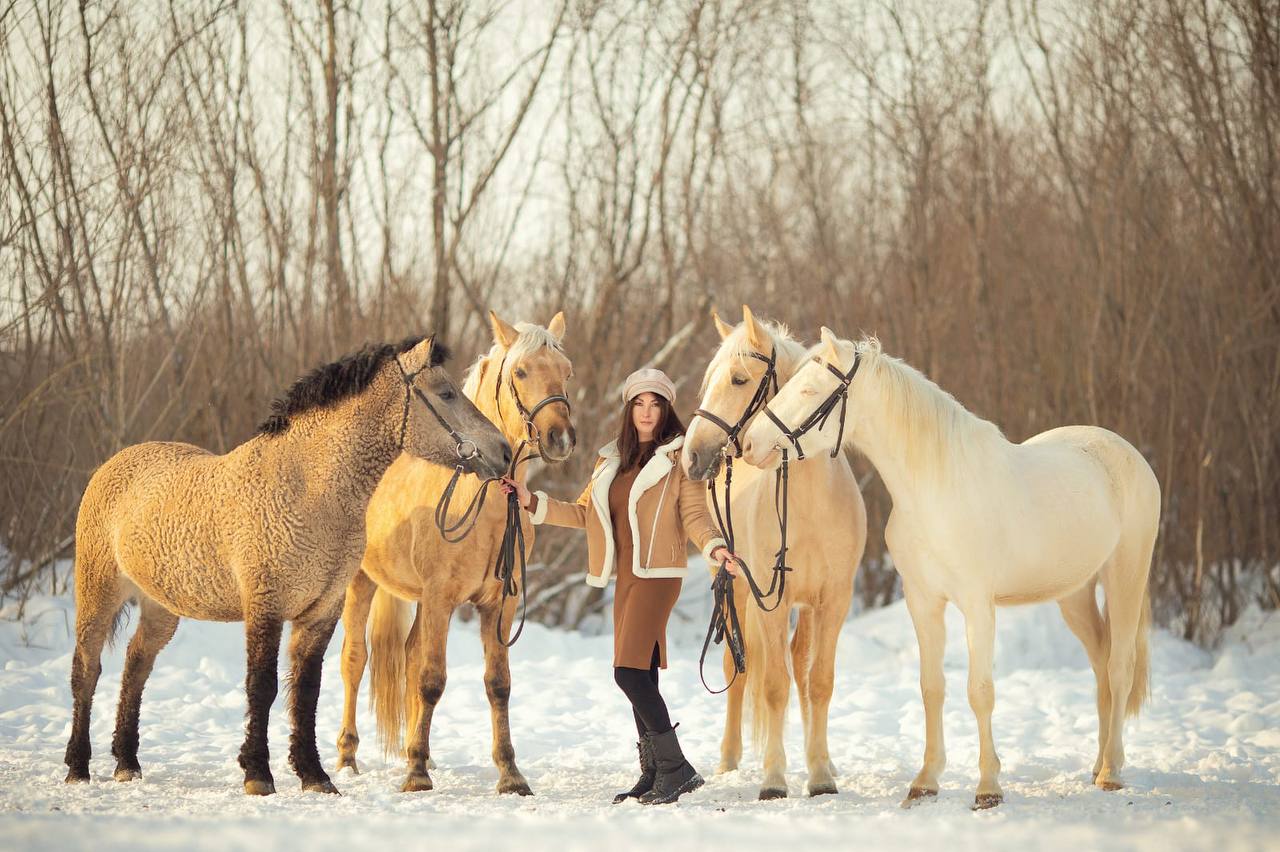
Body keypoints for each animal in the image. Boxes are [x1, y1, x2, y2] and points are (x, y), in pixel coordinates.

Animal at [63, 335, 504, 793]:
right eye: (446, 393)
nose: (503, 452)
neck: (309, 487)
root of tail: (113, 465)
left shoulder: (320, 613)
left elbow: (306, 690)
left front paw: (314, 774)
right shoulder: (266, 607)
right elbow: (263, 686)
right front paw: (258, 773)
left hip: (160, 608)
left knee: (136, 665)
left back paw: (126, 763)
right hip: (98, 592)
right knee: (86, 669)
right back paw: (78, 767)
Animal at [335, 308, 576, 793]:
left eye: (567, 371)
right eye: (521, 371)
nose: (559, 437)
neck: (479, 499)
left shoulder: (499, 603)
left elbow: (497, 683)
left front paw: (509, 774)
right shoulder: (440, 598)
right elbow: (431, 679)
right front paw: (416, 776)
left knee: (408, 657)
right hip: (362, 583)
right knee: (355, 660)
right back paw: (349, 759)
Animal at [680, 307, 870, 798]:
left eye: (739, 379)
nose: (692, 458)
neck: (809, 505)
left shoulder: (833, 600)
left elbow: (818, 681)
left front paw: (820, 775)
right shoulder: (771, 601)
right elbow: (772, 686)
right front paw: (773, 778)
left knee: (801, 666)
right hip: (736, 591)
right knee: (736, 665)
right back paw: (729, 760)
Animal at [742, 327, 1162, 808]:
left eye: (810, 390)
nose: (750, 445)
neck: (935, 489)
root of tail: (1129, 454)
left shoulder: (978, 606)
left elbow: (980, 692)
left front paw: (988, 788)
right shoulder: (923, 602)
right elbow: (932, 688)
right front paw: (926, 781)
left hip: (1125, 575)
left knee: (1119, 667)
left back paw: (1111, 771)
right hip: (1074, 594)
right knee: (1100, 667)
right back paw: (1096, 765)